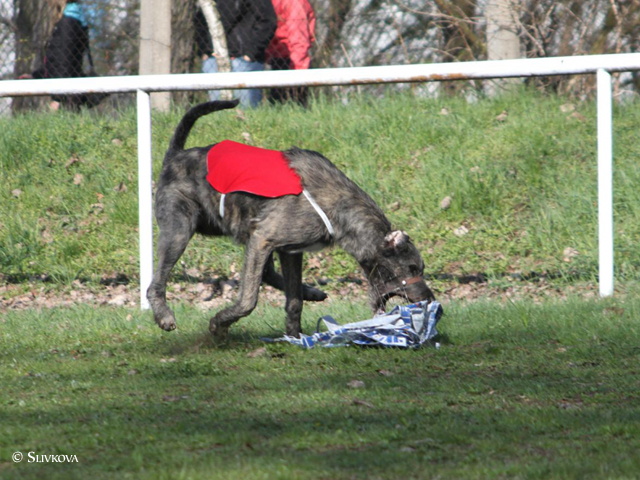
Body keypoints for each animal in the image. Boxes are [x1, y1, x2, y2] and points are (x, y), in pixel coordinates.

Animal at [147, 98, 436, 338]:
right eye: (412, 268)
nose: (430, 299)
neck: (334, 204)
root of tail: (175, 156)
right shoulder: (264, 240)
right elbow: (249, 300)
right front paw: (219, 323)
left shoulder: (288, 251)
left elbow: (293, 299)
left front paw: (295, 336)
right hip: (180, 230)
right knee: (156, 283)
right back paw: (164, 316)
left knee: (268, 275)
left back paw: (311, 292)